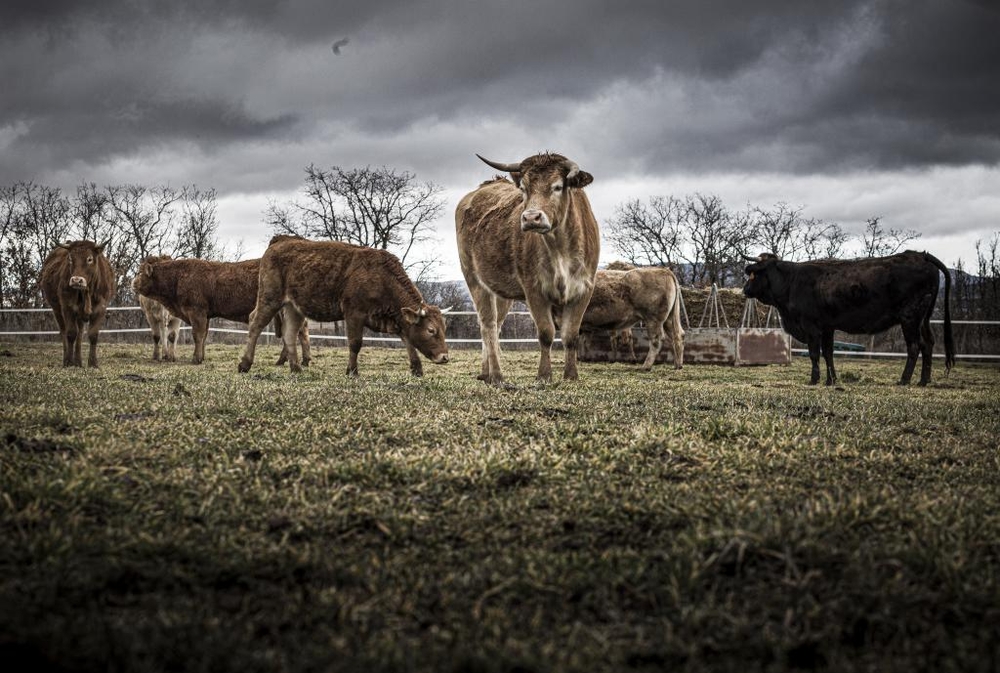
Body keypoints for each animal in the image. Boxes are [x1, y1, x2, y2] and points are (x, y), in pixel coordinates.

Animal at [39, 240, 116, 368]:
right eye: (70, 259)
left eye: (89, 259)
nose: (76, 280)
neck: (86, 292)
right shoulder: (67, 308)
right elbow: (70, 334)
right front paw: (69, 363)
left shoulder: (100, 309)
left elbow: (93, 335)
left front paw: (93, 363)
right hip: (57, 310)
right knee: (64, 332)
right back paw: (67, 360)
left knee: (80, 334)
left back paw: (78, 361)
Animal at [131, 255, 308, 364]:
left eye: (139, 272)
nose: (132, 283)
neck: (179, 276)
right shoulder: (206, 315)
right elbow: (203, 337)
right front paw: (201, 357)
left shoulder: (196, 312)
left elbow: (197, 335)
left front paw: (196, 359)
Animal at [236, 236, 448, 376]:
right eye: (431, 330)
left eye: (443, 328)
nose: (445, 357)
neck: (381, 276)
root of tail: (278, 242)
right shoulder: (354, 313)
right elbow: (355, 343)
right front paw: (352, 370)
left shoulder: (390, 318)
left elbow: (407, 339)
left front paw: (417, 368)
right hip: (269, 298)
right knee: (255, 323)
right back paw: (245, 364)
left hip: (294, 307)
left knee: (290, 332)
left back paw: (296, 367)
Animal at [740, 251, 956, 388]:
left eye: (752, 275)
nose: (744, 290)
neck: (791, 281)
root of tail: (921, 254)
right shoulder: (827, 327)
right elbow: (828, 353)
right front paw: (831, 380)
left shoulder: (811, 326)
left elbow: (814, 354)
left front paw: (814, 379)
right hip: (923, 319)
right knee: (928, 344)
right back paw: (923, 380)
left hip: (910, 318)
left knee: (914, 346)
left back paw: (904, 380)